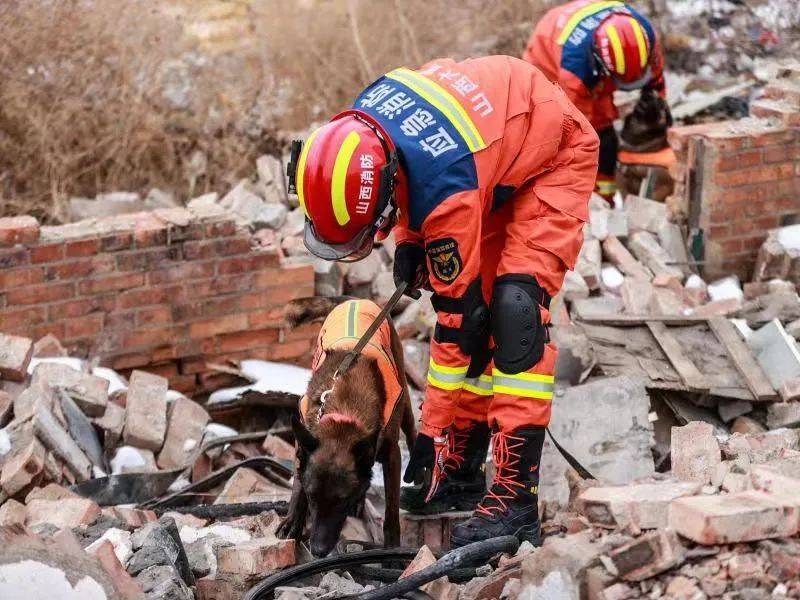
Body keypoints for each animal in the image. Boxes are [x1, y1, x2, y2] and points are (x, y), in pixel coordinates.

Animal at [276, 298, 416, 556]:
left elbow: (391, 510)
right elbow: (298, 482)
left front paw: (392, 550)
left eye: (341, 500)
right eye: (312, 497)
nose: (318, 550)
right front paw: (293, 520)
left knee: (412, 430)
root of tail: (355, 298)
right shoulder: (305, 437)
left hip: (403, 393)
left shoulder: (392, 455)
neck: (344, 417)